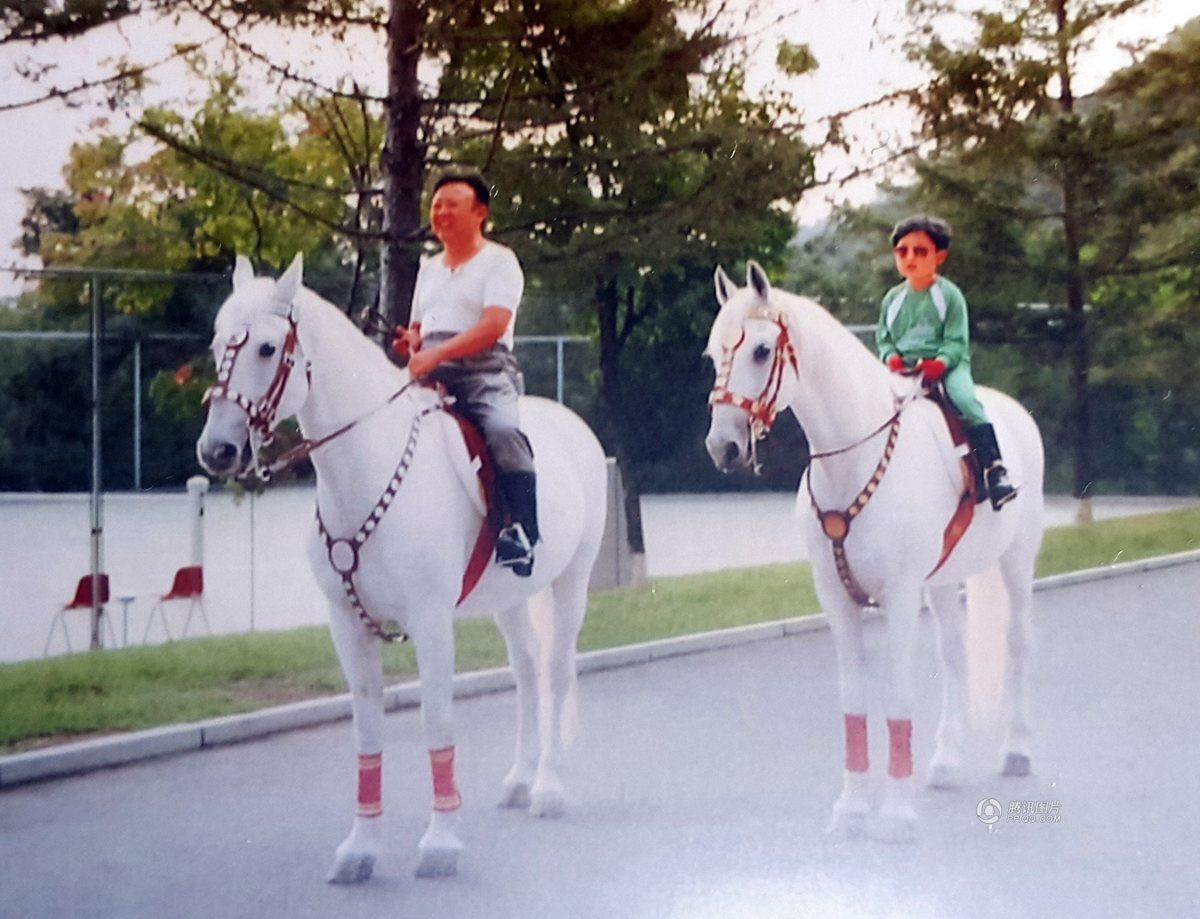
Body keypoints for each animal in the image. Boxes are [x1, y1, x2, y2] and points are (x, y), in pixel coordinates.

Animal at [200, 254, 609, 883]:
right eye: (218, 342)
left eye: (267, 348)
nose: (217, 450)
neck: (367, 466)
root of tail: (572, 424)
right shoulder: (346, 624)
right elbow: (367, 732)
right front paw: (359, 849)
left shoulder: (432, 622)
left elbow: (436, 722)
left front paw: (440, 844)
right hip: (512, 600)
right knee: (526, 670)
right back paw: (520, 781)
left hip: (571, 584)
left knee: (557, 671)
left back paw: (547, 789)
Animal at [700, 259, 1041, 844]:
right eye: (712, 353)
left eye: (762, 350)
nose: (722, 446)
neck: (853, 458)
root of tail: (1012, 410)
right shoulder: (838, 601)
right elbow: (854, 701)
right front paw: (853, 808)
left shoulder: (900, 596)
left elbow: (897, 697)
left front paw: (896, 815)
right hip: (943, 581)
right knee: (955, 651)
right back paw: (947, 762)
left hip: (1017, 562)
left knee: (1019, 642)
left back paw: (1016, 751)